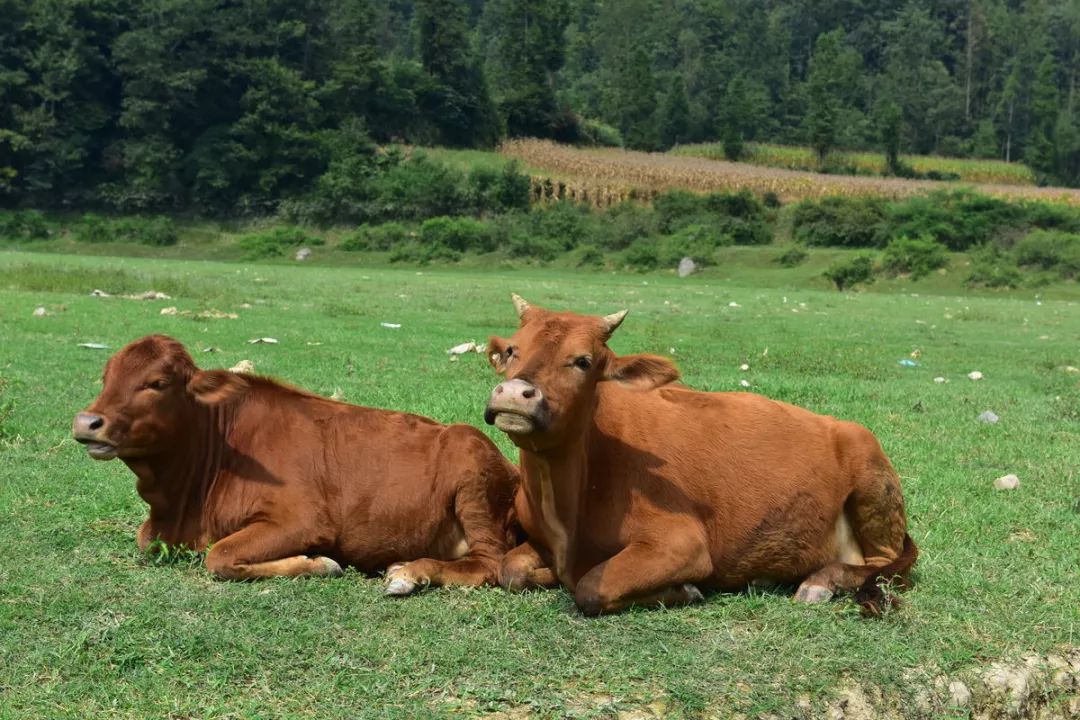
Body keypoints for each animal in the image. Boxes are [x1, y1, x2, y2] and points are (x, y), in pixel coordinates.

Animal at [71, 334, 518, 595]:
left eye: (157, 383)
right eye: (106, 377)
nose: (87, 422)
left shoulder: (303, 520)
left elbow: (220, 556)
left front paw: (316, 563)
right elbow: (145, 538)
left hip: (474, 484)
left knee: (488, 565)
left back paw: (408, 573)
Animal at [486, 295, 915, 617]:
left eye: (582, 361)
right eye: (512, 351)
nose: (514, 394)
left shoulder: (681, 543)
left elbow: (590, 587)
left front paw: (686, 590)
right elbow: (510, 571)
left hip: (872, 480)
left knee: (885, 565)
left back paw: (819, 581)